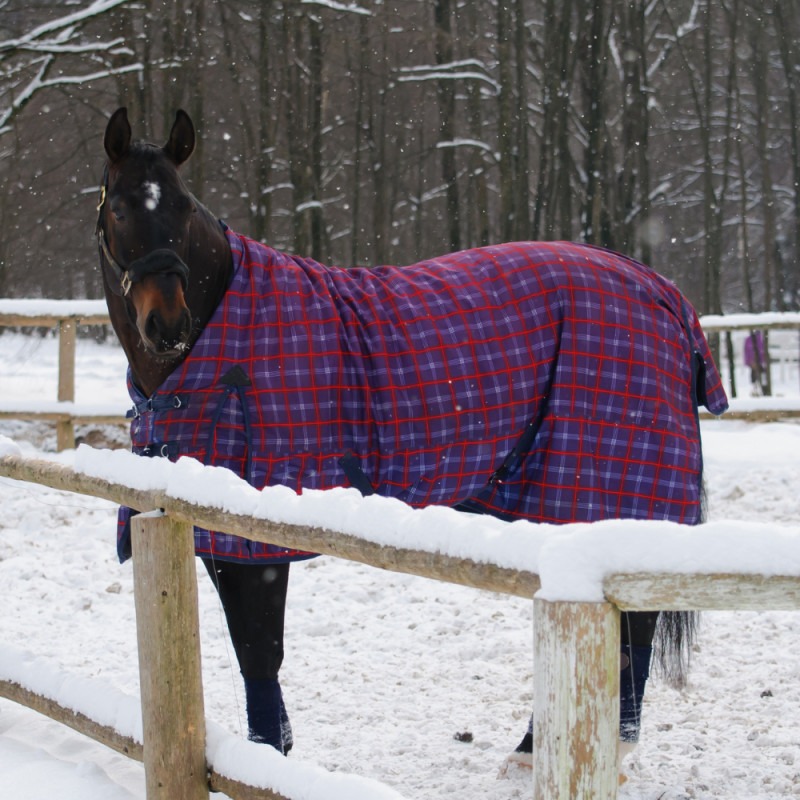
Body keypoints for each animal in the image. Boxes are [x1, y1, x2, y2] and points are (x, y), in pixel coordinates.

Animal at [97, 107, 729, 767]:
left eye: (183, 206)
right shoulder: (213, 531)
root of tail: (662, 292)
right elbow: (254, 655)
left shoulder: (254, 539)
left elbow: (260, 651)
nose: (167, 324)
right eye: (121, 208)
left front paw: (270, 759)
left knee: (631, 631)